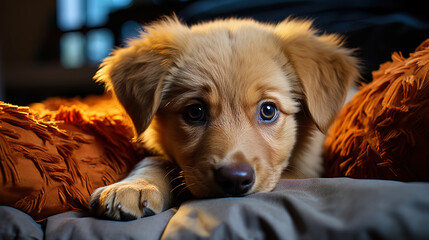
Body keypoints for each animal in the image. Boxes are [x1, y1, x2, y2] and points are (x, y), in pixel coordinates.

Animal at [89, 15, 358, 220]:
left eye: (268, 110)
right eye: (195, 112)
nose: (235, 180)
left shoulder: (306, 170)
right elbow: (157, 160)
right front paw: (135, 185)